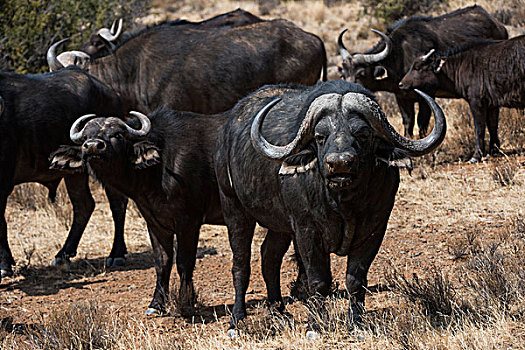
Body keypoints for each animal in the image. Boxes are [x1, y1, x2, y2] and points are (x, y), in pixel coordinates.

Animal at [0, 67, 126, 280]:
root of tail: (112, 94)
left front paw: (3, 265)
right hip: (73, 172)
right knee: (84, 205)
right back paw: (63, 255)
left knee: (118, 203)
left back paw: (116, 254)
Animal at [49, 110, 227, 318]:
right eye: (85, 137)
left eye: (117, 135)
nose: (92, 146)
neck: (159, 168)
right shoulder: (155, 222)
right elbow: (162, 262)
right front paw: (156, 304)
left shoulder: (189, 221)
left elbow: (184, 263)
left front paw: (185, 303)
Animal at [213, 80, 446, 334]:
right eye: (320, 136)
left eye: (363, 133)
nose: (339, 164)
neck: (342, 203)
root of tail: (226, 134)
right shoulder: (306, 230)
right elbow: (318, 280)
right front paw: (315, 325)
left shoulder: (375, 229)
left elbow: (356, 280)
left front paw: (356, 323)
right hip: (234, 209)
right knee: (241, 265)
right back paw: (236, 320)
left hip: (280, 226)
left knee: (269, 258)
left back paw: (280, 313)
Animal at [338, 4, 506, 138]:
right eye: (343, 74)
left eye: (360, 74)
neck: (400, 56)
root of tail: (499, 25)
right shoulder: (402, 97)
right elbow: (408, 122)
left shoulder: (427, 95)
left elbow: (422, 122)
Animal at [400, 34, 520, 162]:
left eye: (417, 68)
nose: (401, 84)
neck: (463, 65)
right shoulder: (493, 105)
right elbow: (492, 125)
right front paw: (494, 150)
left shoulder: (476, 103)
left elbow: (479, 128)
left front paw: (476, 156)